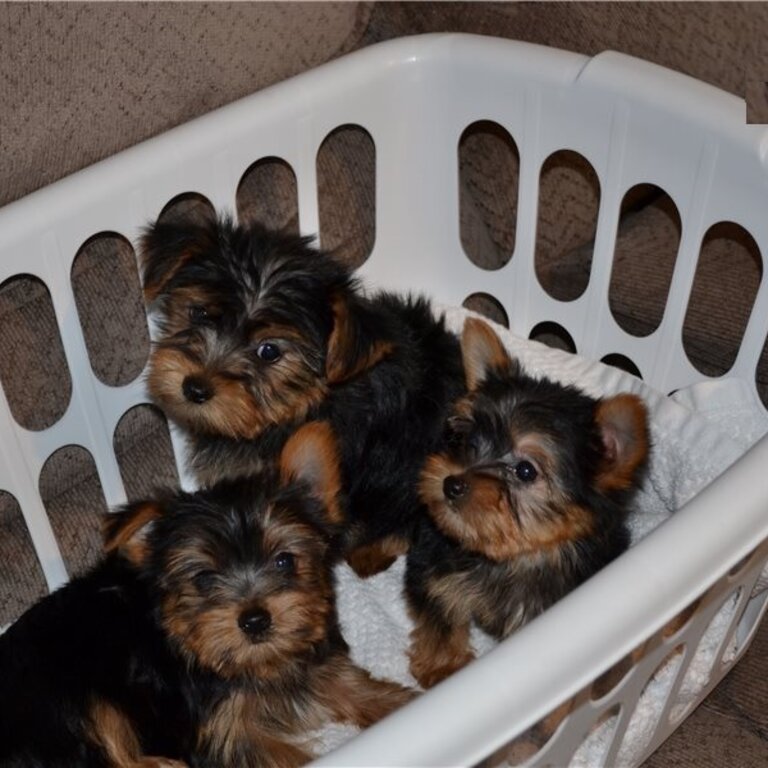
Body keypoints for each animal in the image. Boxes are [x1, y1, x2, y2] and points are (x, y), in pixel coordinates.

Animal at [0, 424, 414, 764]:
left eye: (284, 561)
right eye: (202, 578)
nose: (255, 620)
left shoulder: (313, 662)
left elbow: (352, 684)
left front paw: (403, 702)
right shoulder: (224, 735)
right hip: (66, 702)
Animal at [404, 316, 652, 688]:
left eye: (525, 470)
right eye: (467, 440)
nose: (451, 484)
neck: (517, 556)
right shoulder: (435, 560)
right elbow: (441, 610)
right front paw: (443, 667)